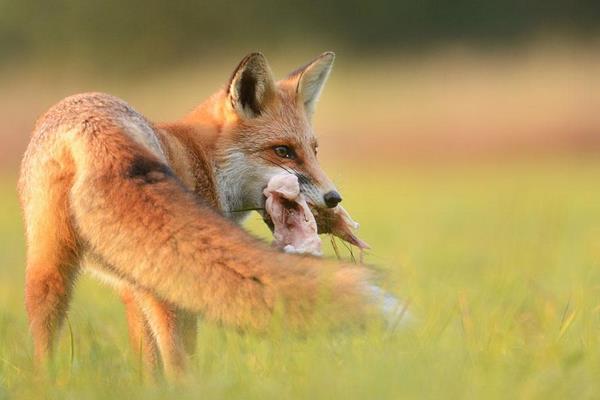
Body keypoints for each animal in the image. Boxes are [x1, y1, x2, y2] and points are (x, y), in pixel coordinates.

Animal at [17, 51, 404, 380]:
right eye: (282, 151)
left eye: (314, 150)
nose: (333, 199)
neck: (203, 159)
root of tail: (91, 125)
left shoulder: (132, 282)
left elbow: (148, 366)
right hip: (167, 286)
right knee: (179, 363)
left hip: (49, 271)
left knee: (43, 345)